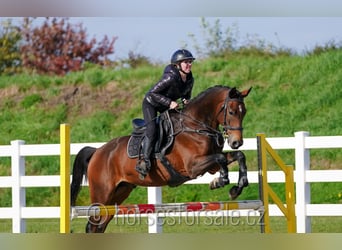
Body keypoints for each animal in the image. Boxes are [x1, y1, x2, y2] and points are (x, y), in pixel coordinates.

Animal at [71, 85, 251, 232]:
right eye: (232, 112)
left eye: (244, 112)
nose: (236, 142)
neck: (195, 126)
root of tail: (97, 151)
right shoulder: (193, 167)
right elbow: (221, 158)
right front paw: (220, 181)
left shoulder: (210, 165)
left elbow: (237, 156)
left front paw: (236, 188)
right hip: (102, 194)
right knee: (92, 225)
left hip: (119, 193)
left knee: (100, 226)